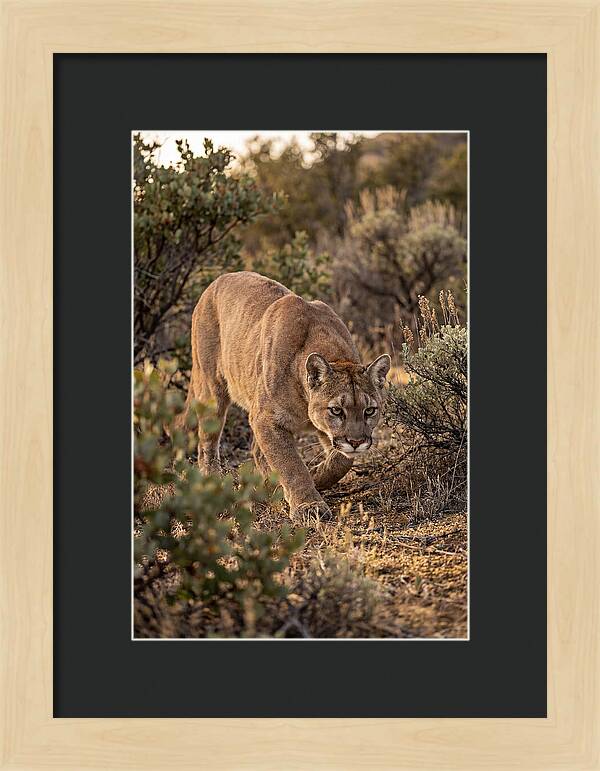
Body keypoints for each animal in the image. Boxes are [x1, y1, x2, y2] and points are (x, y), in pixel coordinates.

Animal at [177, 271, 390, 519]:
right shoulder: (266, 418)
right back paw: (215, 481)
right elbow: (290, 464)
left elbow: (341, 461)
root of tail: (217, 280)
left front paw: (316, 475)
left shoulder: (317, 429)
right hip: (213, 389)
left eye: (370, 411)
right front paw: (309, 505)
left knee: (256, 451)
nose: (356, 442)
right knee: (207, 443)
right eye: (337, 410)